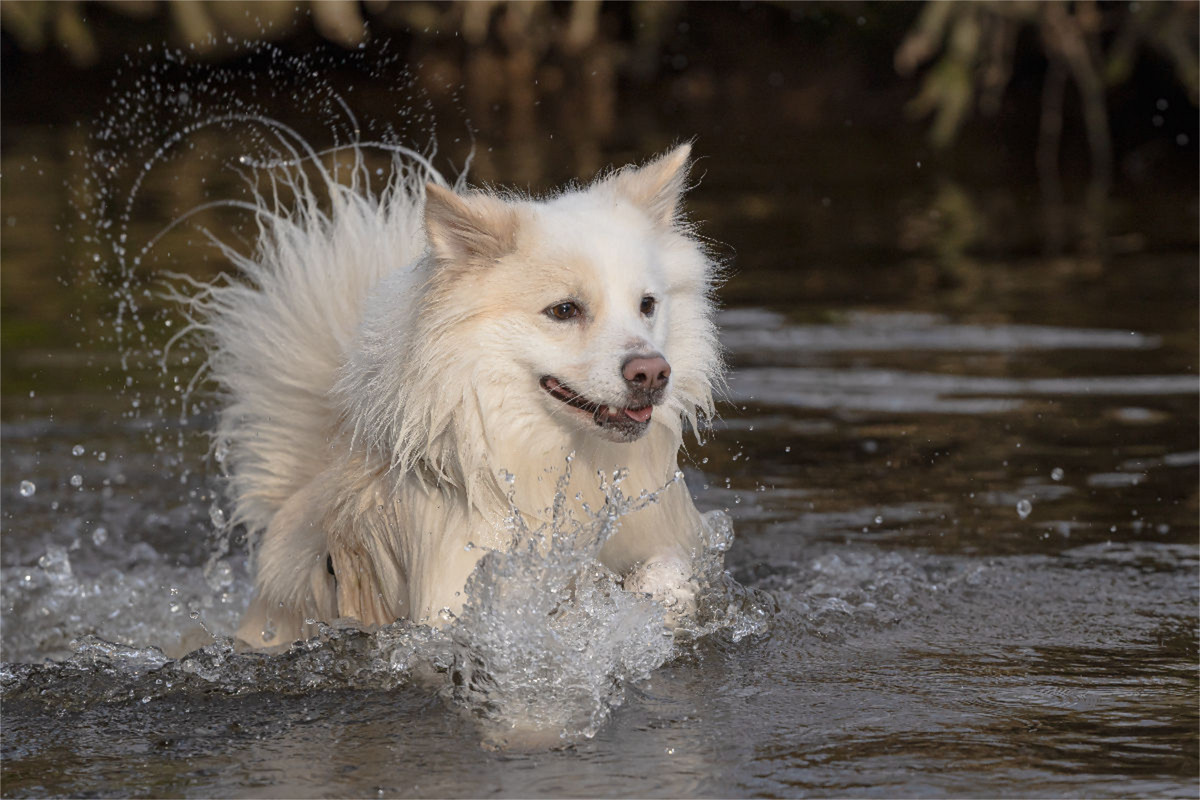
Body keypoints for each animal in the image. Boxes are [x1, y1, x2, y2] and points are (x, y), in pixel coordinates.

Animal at [187, 143, 720, 647]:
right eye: (564, 310)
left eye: (647, 305)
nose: (652, 372)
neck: (562, 469)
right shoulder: (455, 602)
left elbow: (664, 571)